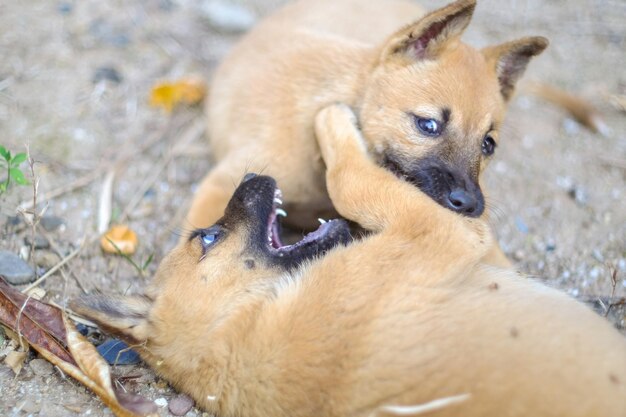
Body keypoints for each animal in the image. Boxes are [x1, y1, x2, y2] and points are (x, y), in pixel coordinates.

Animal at [72, 105, 624, 416]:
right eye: (207, 237)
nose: (251, 174)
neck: (240, 325)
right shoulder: (434, 233)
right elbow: (352, 180)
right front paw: (333, 118)